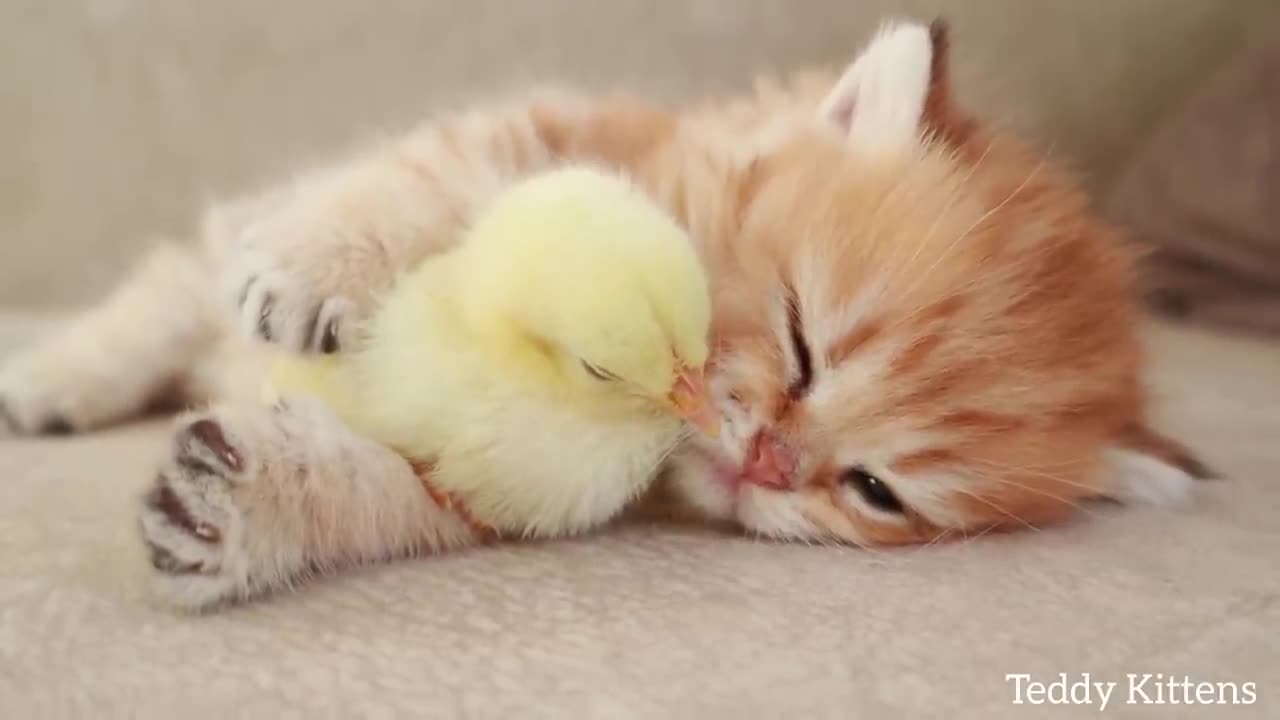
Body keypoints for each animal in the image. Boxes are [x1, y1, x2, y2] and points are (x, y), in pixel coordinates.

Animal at [0, 20, 1198, 604]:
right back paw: (54, 378)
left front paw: (248, 509)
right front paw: (318, 262)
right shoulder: (552, 136)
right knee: (169, 286)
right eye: (802, 339)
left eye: (874, 492)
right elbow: (430, 172)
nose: (766, 462)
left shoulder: (497, 486)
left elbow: (384, 490)